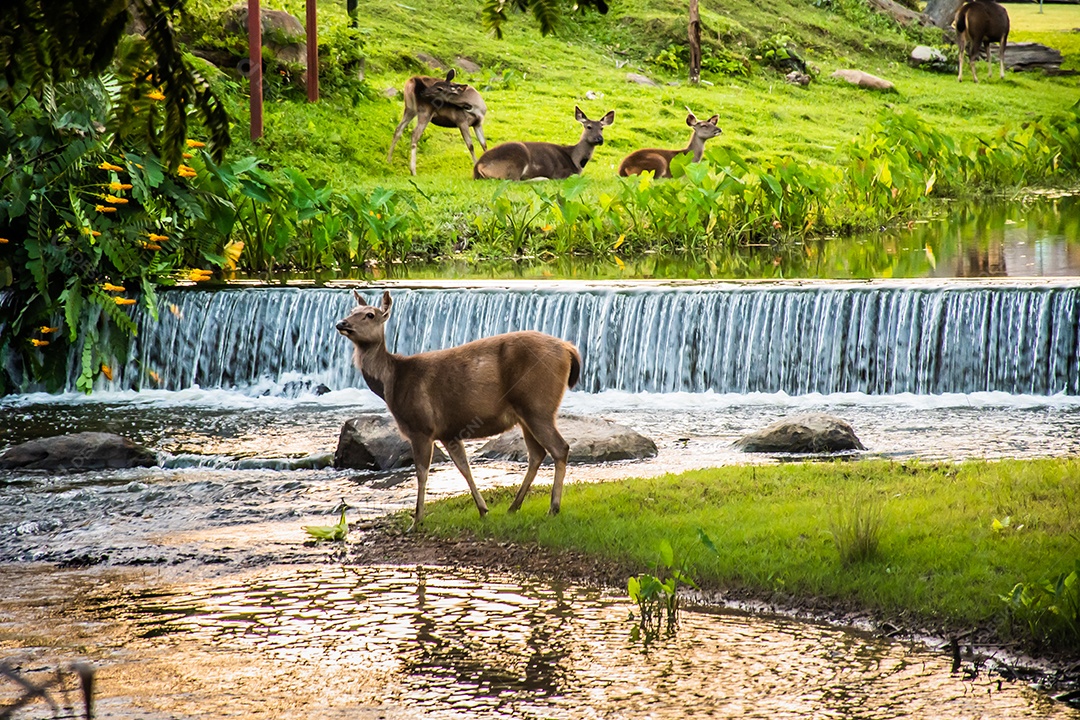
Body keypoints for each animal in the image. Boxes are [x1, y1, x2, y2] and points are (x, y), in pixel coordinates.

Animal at [336, 291, 582, 530]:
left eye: (370, 315)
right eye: (352, 310)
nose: (341, 323)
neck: (392, 383)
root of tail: (569, 349)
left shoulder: (421, 427)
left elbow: (422, 473)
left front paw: (417, 520)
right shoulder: (449, 432)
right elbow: (464, 468)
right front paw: (483, 509)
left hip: (537, 405)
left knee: (559, 448)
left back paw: (553, 508)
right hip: (527, 414)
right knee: (537, 453)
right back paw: (514, 507)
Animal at [473, 107, 615, 180]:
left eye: (602, 128)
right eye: (588, 127)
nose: (599, 139)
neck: (576, 161)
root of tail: (478, 166)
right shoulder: (561, 174)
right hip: (517, 157)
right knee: (514, 180)